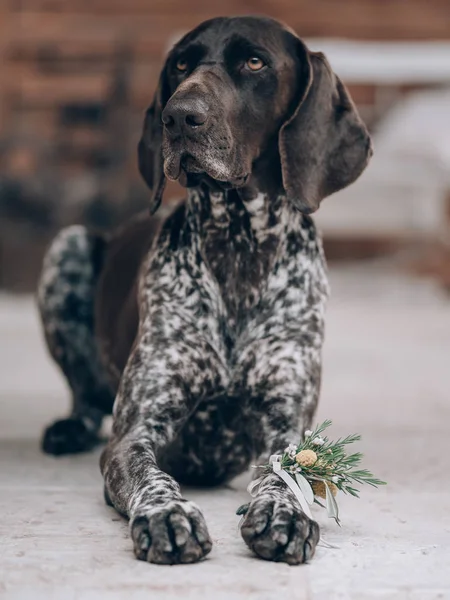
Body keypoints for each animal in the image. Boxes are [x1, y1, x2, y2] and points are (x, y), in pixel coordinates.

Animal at [36, 16, 372, 564]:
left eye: (254, 62)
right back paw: (70, 428)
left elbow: (287, 476)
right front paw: (168, 516)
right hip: (68, 246)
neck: (238, 245)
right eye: (180, 65)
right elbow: (152, 476)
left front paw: (284, 514)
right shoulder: (135, 431)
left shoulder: (286, 426)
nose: (178, 117)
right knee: (85, 398)